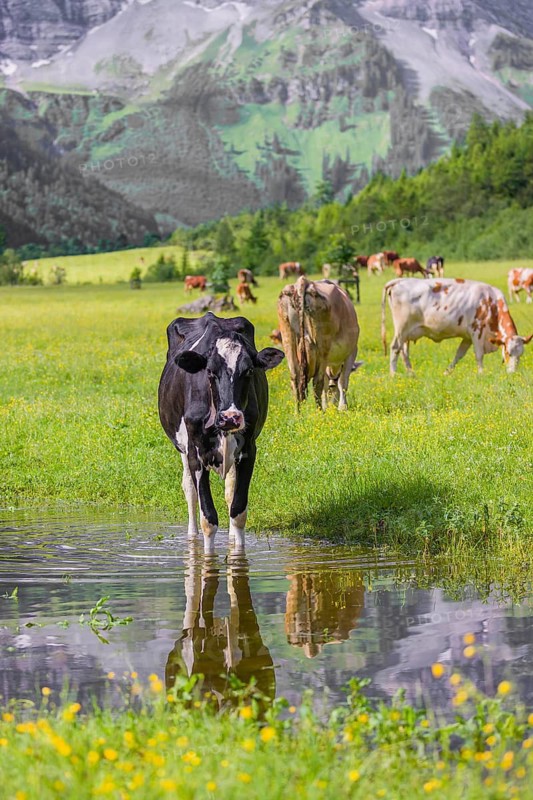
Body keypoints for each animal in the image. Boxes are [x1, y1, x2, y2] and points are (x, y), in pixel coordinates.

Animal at [158, 313, 284, 553]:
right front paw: (208, 557)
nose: (230, 417)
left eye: (249, 371)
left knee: (229, 491)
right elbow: (208, 518)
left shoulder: (249, 450)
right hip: (183, 448)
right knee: (189, 490)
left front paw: (237, 552)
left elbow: (238, 510)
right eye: (210, 371)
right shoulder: (195, 453)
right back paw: (192, 538)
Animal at [277, 276, 362, 410]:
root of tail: (304, 281)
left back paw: (298, 413)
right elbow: (343, 381)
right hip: (322, 347)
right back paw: (319, 412)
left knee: (295, 378)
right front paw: (342, 407)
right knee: (318, 382)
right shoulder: (352, 352)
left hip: (287, 338)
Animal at [381, 278, 532, 375]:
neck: (491, 303)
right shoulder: (477, 332)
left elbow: (459, 354)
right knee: (395, 348)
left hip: (407, 333)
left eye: (520, 355)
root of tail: (400, 281)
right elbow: (479, 355)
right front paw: (481, 374)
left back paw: (411, 373)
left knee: (404, 351)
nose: (512, 373)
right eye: (508, 353)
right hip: (401, 329)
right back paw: (393, 374)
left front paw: (447, 372)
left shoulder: (467, 337)